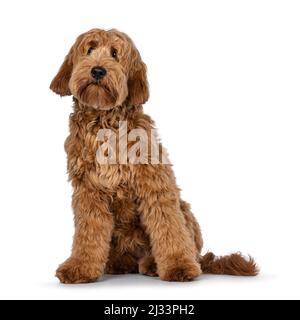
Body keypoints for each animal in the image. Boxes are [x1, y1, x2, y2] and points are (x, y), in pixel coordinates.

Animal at [49, 28, 258, 284]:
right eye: (89, 49)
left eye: (115, 53)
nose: (98, 70)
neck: (105, 123)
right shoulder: (89, 192)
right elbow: (88, 234)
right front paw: (80, 267)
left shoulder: (155, 184)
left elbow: (167, 227)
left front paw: (178, 266)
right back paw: (118, 263)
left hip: (185, 210)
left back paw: (154, 264)